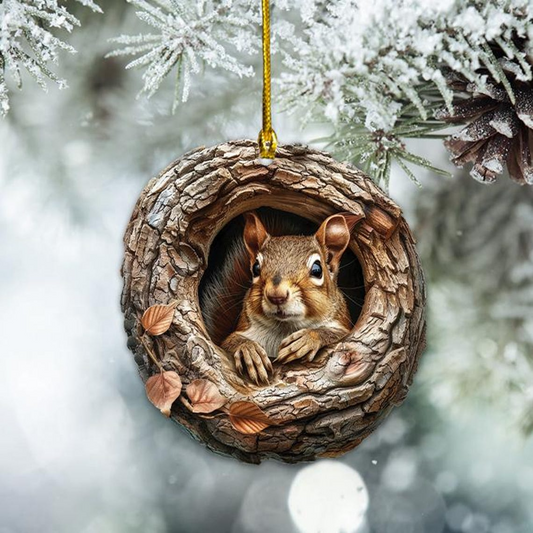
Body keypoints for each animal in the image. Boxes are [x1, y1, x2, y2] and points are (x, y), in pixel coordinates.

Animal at [203, 210, 354, 384]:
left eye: (317, 270)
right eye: (256, 268)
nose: (276, 296)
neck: (284, 327)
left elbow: (338, 335)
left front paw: (306, 339)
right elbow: (229, 342)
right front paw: (249, 350)